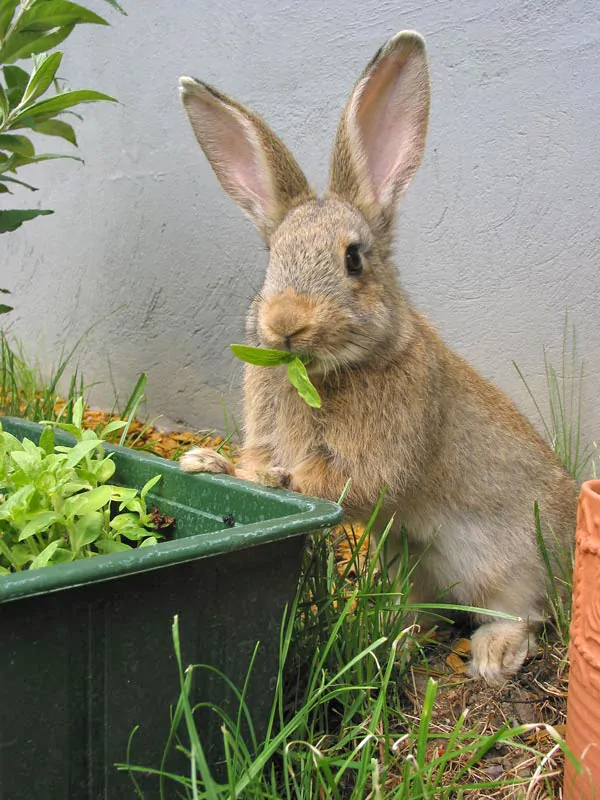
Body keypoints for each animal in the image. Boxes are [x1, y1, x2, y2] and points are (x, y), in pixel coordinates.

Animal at [177, 28, 576, 684]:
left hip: (511, 563)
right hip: (404, 566)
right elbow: (256, 464)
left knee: (525, 612)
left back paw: (491, 655)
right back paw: (391, 640)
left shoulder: (379, 455)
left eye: (353, 259)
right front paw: (203, 463)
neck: (324, 372)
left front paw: (259, 476)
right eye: (272, 259)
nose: (286, 323)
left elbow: (329, 482)